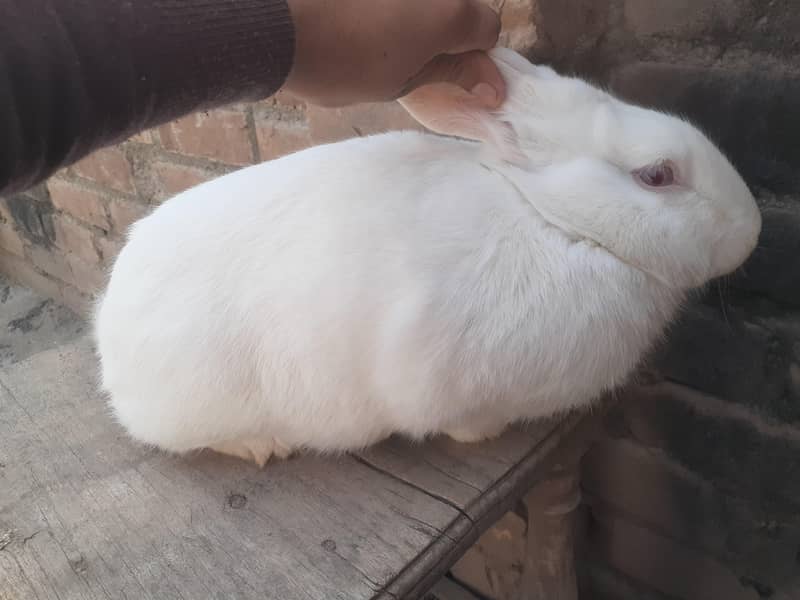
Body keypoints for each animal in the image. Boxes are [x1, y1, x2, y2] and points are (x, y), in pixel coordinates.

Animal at [93, 48, 761, 467]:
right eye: (657, 175)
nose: (752, 231)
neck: (552, 219)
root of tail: (108, 333)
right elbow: (458, 421)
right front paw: (486, 433)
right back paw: (260, 446)